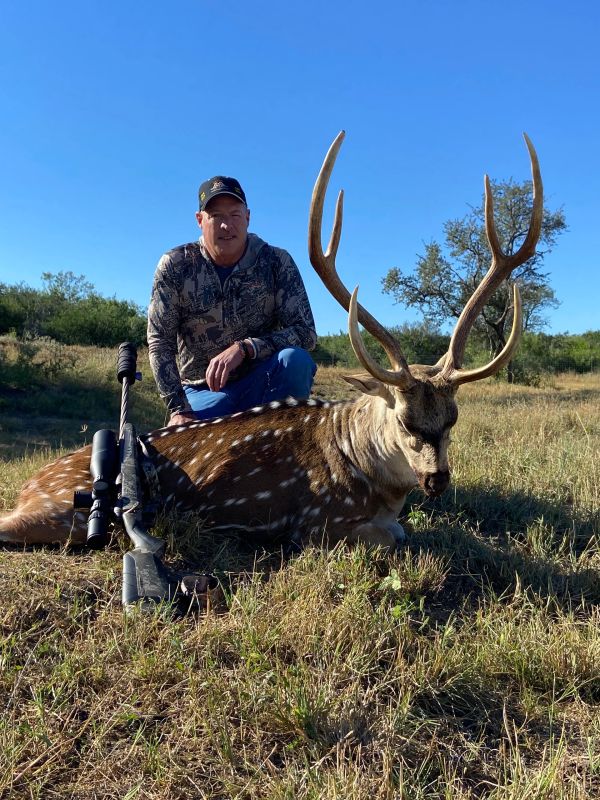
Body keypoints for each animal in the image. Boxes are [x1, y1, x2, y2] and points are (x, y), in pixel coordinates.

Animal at [0, 131, 542, 552]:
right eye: (405, 420)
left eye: (452, 418)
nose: (436, 480)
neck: (370, 476)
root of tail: (31, 482)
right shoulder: (318, 524)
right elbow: (395, 536)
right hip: (63, 509)